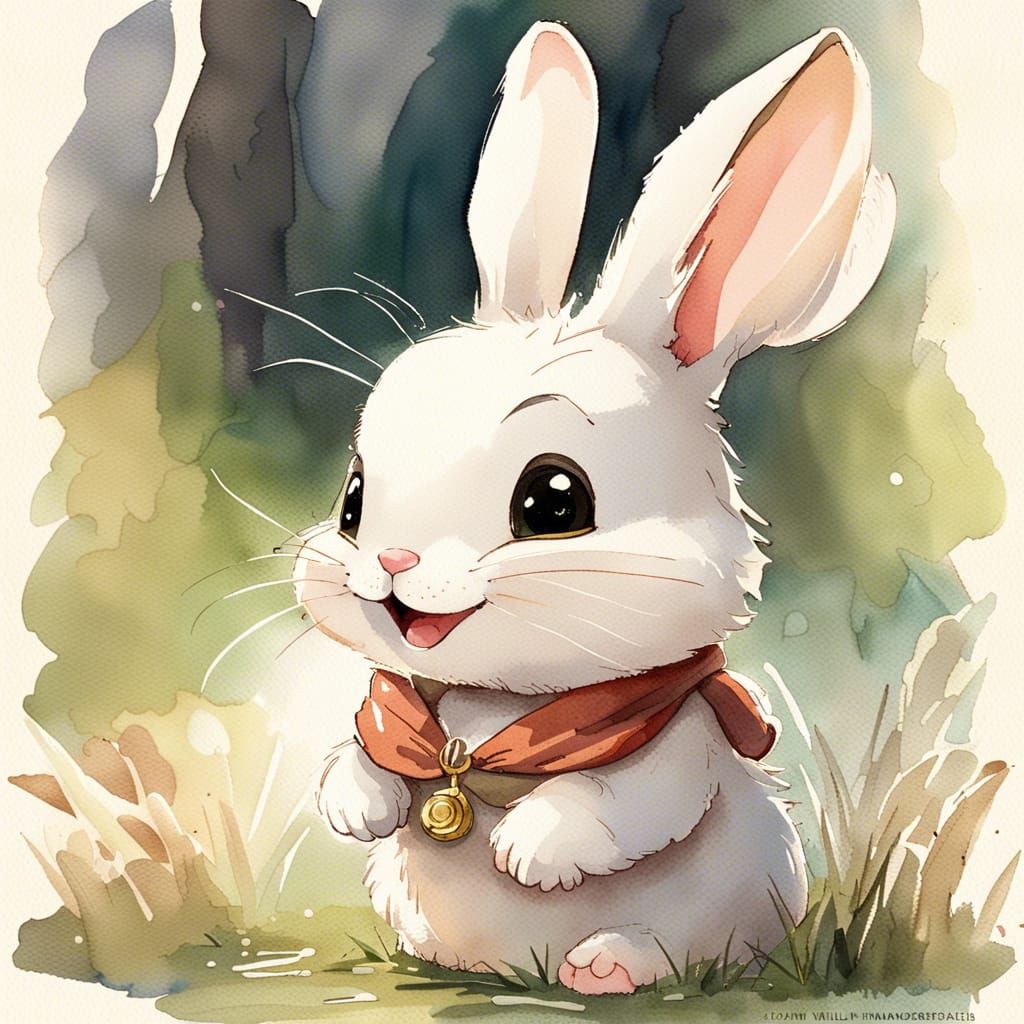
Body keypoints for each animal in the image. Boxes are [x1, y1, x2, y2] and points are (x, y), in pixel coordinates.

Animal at [293, 21, 895, 995]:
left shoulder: (685, 740)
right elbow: (362, 746)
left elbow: (626, 799)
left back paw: (605, 964)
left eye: (553, 500)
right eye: (353, 499)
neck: (486, 722)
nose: (390, 563)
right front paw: (357, 807)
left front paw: (530, 851)